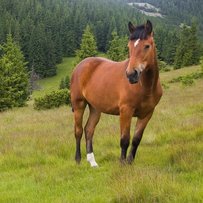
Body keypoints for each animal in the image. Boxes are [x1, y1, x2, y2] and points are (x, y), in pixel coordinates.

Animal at [70, 20, 163, 167]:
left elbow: (136, 139)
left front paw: (130, 162)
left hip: (95, 108)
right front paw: (122, 164)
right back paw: (78, 160)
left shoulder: (147, 114)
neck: (145, 87)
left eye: (147, 46)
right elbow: (124, 139)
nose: (131, 74)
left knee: (89, 130)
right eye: (129, 46)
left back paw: (93, 162)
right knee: (78, 131)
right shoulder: (126, 111)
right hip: (79, 105)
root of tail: (80, 65)